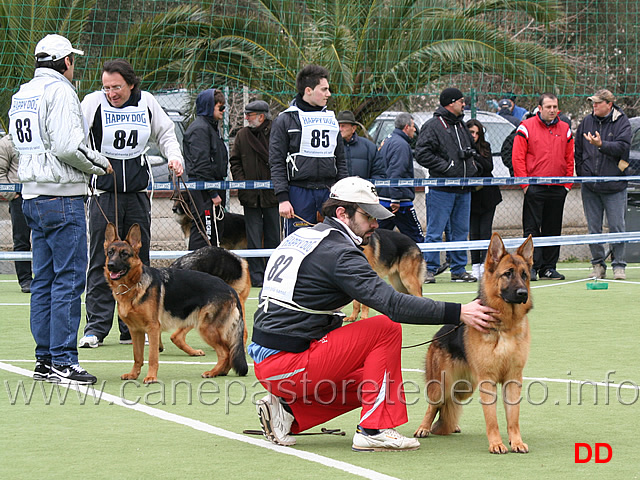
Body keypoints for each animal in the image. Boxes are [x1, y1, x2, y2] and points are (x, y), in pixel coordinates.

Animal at [105, 223, 248, 384]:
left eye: (124, 254)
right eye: (110, 252)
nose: (110, 265)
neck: (133, 286)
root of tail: (229, 289)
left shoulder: (152, 328)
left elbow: (152, 357)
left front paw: (151, 377)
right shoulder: (135, 330)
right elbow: (138, 356)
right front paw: (134, 374)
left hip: (206, 328)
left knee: (225, 352)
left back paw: (213, 372)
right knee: (229, 352)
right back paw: (220, 372)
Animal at [412, 232, 532, 454]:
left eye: (524, 275)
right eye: (508, 274)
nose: (523, 293)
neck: (504, 326)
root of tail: (438, 335)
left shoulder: (513, 380)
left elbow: (513, 418)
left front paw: (516, 442)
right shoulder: (488, 382)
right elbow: (492, 419)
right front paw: (496, 444)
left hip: (464, 389)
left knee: (449, 404)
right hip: (441, 386)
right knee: (433, 405)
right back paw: (424, 428)